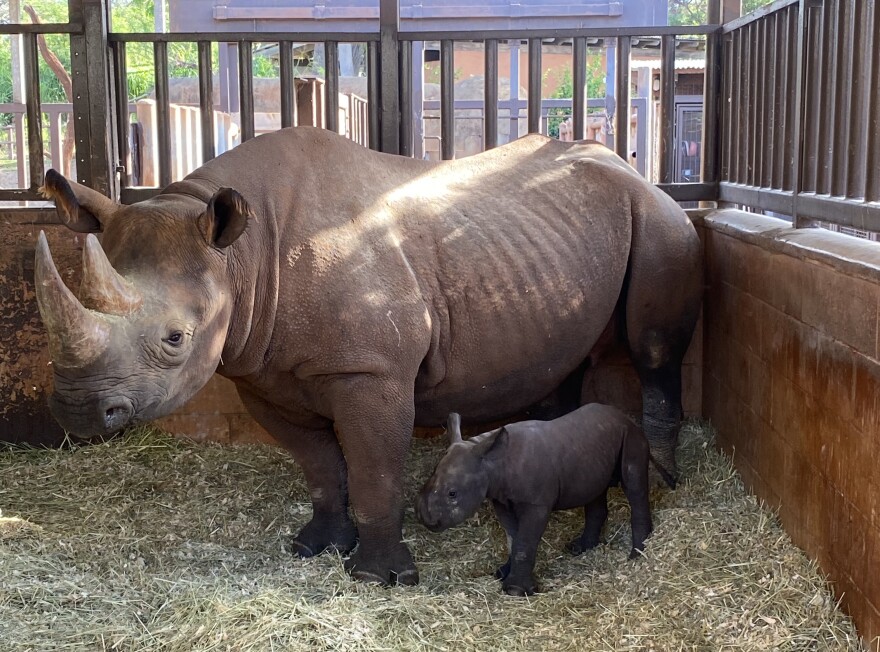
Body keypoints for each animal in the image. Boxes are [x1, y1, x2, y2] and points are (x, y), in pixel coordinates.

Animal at [416, 404, 676, 600]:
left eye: (452, 494)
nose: (427, 520)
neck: (492, 461)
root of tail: (628, 418)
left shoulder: (536, 504)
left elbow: (525, 542)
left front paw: (515, 591)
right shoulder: (501, 499)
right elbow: (513, 537)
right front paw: (503, 573)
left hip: (632, 438)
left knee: (634, 485)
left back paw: (637, 554)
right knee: (595, 489)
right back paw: (579, 548)